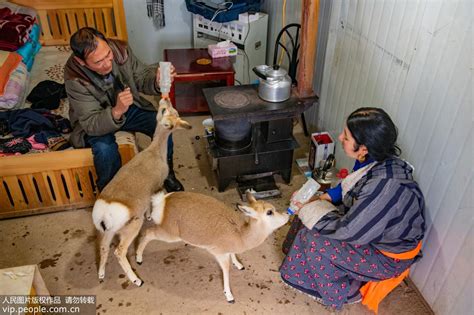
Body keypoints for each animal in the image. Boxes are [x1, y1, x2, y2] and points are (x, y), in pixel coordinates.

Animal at [90, 100, 191, 288]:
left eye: (173, 110)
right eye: (164, 110)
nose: (165, 100)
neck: (154, 152)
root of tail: (105, 212)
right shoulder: (156, 187)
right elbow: (152, 202)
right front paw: (150, 215)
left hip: (108, 232)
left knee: (104, 247)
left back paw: (101, 274)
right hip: (131, 228)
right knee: (119, 252)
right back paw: (137, 279)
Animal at [133, 190, 288, 304]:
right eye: (269, 212)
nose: (287, 215)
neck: (240, 235)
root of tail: (162, 201)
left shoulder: (228, 250)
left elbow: (233, 256)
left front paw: (240, 265)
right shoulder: (219, 253)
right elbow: (226, 271)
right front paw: (229, 296)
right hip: (169, 234)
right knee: (148, 232)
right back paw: (138, 260)